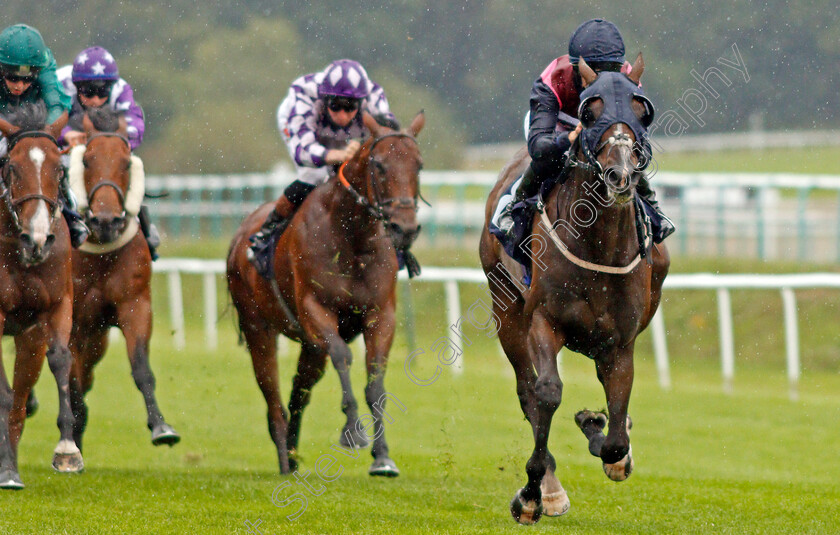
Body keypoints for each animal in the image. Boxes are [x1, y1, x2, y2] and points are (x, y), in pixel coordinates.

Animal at [68, 109, 180, 452]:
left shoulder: (135, 303)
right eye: (86, 160)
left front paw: (161, 426)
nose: (106, 221)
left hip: (97, 338)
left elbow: (141, 366)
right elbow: (71, 382)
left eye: (126, 162)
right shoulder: (70, 319)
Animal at [226, 112, 424, 478]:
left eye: (418, 164)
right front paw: (352, 432)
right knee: (273, 397)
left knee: (298, 391)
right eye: (379, 165)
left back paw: (292, 452)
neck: (352, 238)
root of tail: (239, 237)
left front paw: (383, 457)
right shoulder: (315, 310)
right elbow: (343, 357)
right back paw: (284, 460)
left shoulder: (381, 315)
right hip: (259, 329)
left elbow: (375, 380)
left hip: (309, 346)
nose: (404, 228)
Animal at [480, 56, 668, 524]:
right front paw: (533, 493)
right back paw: (548, 488)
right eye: (589, 110)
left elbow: (617, 436)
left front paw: (599, 428)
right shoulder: (543, 321)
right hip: (504, 306)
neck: (598, 244)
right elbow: (546, 394)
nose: (621, 175)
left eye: (641, 110)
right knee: (527, 390)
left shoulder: (620, 342)